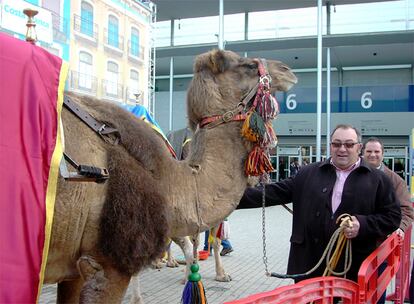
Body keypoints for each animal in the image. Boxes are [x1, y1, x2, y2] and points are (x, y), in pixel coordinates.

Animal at [42, 48, 298, 302]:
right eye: (249, 66)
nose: (288, 70)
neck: (170, 178)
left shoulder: (74, 270)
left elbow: (206, 240)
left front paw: (217, 275)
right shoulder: (107, 264)